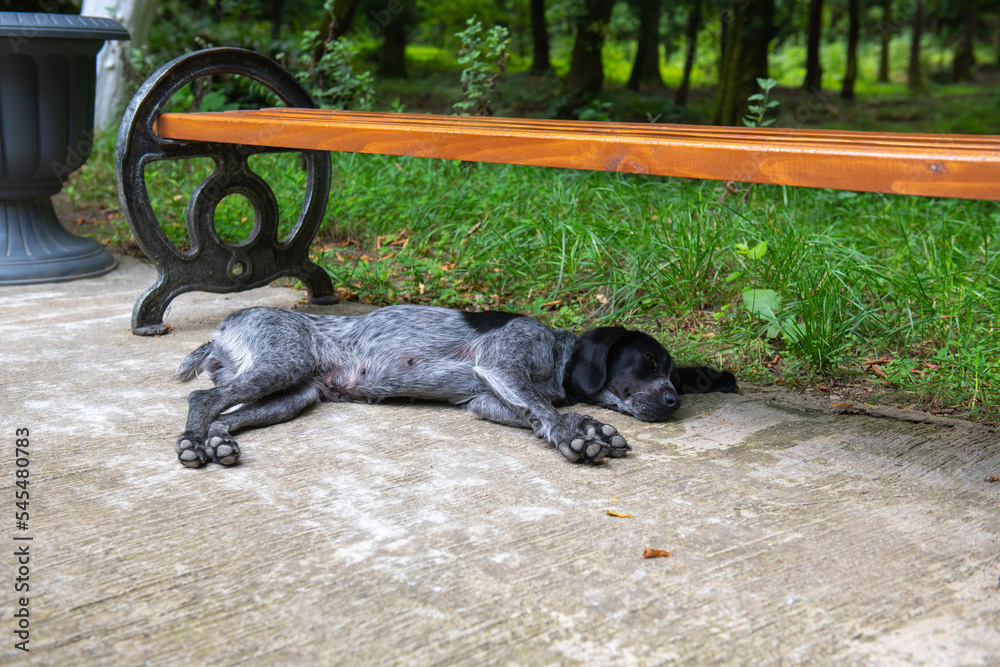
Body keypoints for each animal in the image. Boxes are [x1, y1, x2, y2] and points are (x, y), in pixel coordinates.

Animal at [174, 306, 736, 468]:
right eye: (646, 361)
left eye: (674, 375)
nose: (674, 400)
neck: (556, 354)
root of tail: (221, 329)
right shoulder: (501, 365)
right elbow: (546, 412)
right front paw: (575, 436)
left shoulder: (487, 400)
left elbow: (539, 413)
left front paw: (589, 427)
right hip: (282, 363)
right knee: (203, 398)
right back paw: (193, 444)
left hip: (294, 394)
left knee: (226, 415)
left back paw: (217, 442)